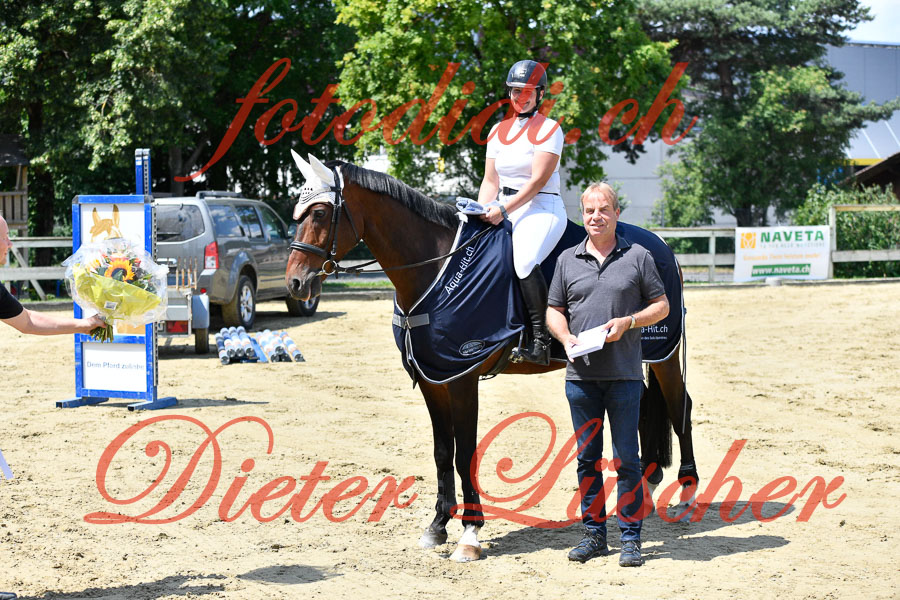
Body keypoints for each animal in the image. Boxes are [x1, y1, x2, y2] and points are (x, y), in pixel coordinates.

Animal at [284, 152, 698, 561]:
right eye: (297, 213)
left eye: (319, 213)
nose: (295, 283)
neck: (435, 267)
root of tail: (662, 245)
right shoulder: (434, 380)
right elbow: (442, 451)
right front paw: (437, 527)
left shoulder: (462, 378)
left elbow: (465, 452)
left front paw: (470, 533)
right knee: (643, 407)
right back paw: (643, 491)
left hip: (663, 353)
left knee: (680, 405)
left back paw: (687, 494)